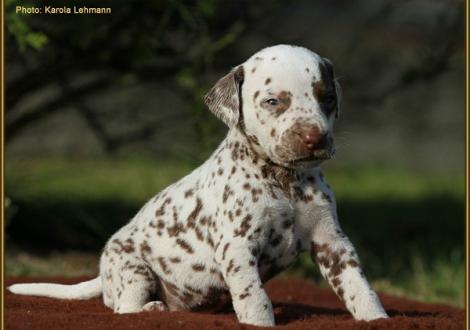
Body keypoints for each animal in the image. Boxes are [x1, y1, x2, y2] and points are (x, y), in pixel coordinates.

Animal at [9, 45, 388, 326]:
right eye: (272, 101)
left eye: (327, 99)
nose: (315, 139)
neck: (283, 181)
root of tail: (102, 275)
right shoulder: (238, 247)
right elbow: (255, 298)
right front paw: (259, 321)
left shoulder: (332, 242)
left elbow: (359, 286)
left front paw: (376, 318)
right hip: (134, 269)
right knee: (123, 310)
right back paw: (150, 309)